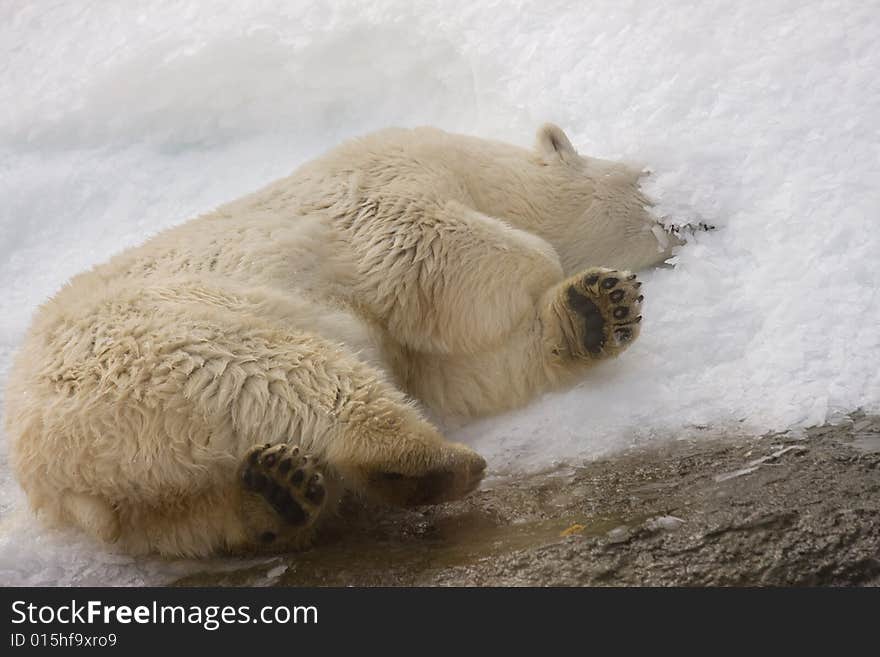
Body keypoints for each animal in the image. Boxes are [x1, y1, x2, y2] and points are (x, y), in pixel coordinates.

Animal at [5, 123, 672, 552]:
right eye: (642, 180)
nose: (677, 222)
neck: (480, 172)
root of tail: (47, 466)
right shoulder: (387, 185)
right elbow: (440, 250)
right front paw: (564, 278)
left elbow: (464, 374)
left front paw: (598, 309)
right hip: (168, 344)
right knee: (294, 374)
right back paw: (433, 463)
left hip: (138, 480)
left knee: (183, 520)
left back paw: (277, 494)